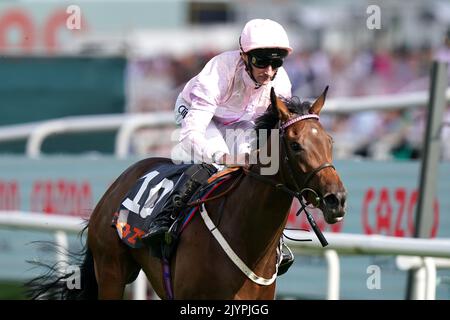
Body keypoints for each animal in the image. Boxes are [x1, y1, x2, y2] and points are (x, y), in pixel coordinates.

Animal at [26, 86, 346, 298]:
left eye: (330, 141)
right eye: (295, 145)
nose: (337, 199)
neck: (246, 238)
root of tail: (120, 180)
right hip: (111, 270)